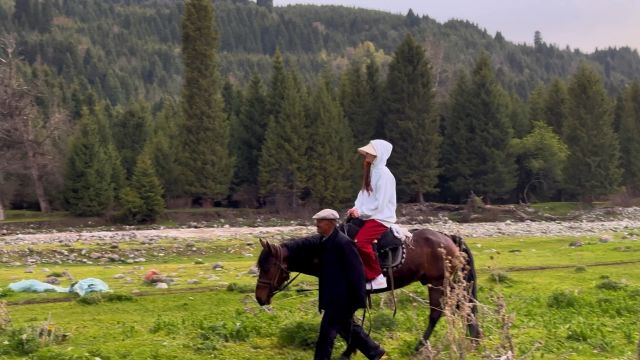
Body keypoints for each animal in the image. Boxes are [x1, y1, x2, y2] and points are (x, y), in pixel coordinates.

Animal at [255, 226, 480, 356]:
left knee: (438, 313)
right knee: (463, 308)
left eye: (267, 267)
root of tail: (447, 236)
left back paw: (420, 347)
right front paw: (354, 349)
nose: (260, 298)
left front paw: (350, 351)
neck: (327, 251)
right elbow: (348, 325)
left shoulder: (349, 297)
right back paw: (473, 340)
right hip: (447, 283)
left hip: (439, 283)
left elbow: (345, 324)